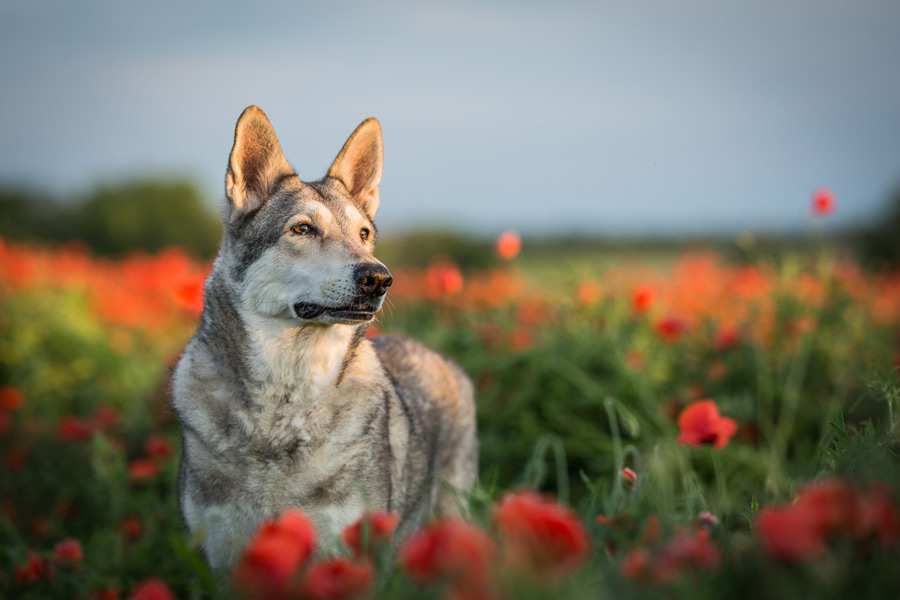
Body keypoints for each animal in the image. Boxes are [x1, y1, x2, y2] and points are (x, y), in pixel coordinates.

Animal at [171, 105, 478, 568]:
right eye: (302, 230)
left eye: (364, 234)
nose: (379, 278)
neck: (283, 402)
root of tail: (437, 355)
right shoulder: (225, 557)